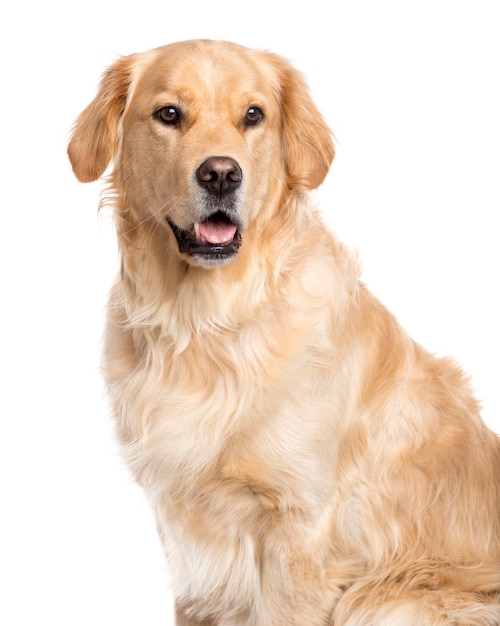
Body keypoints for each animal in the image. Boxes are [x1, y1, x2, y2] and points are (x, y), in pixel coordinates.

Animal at [67, 41, 500, 620]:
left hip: (382, 598)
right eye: (168, 113)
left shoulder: (299, 529)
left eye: (254, 115)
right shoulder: (185, 534)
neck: (206, 322)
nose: (221, 174)